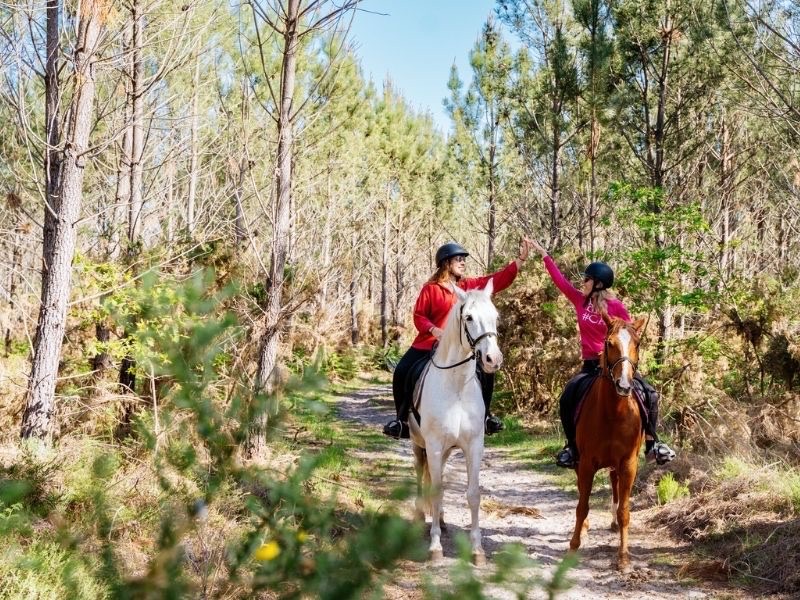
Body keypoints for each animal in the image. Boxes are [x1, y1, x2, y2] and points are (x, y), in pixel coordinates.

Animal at [410, 278, 504, 564]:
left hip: (447, 450)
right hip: (418, 444)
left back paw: (440, 519)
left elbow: (473, 494)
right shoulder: (433, 445)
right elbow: (437, 491)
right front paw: (435, 547)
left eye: (495, 316)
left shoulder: (473, 445)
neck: (457, 387)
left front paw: (477, 550)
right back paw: (420, 516)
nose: (493, 360)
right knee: (420, 471)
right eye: (469, 317)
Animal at [572, 312, 648, 568]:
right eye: (609, 343)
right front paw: (574, 545)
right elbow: (582, 506)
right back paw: (584, 530)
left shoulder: (629, 464)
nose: (624, 385)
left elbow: (625, 511)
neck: (614, 412)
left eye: (637, 343)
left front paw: (623, 556)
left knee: (614, 483)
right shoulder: (586, 463)